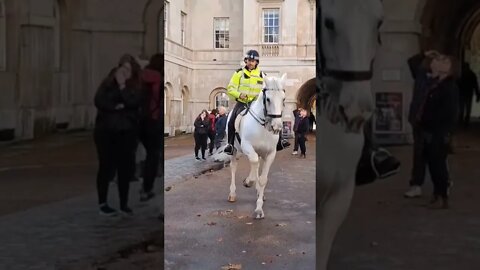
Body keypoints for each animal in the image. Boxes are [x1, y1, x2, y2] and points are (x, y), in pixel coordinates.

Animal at [220, 74, 286, 219]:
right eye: (268, 99)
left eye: (283, 99)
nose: (277, 127)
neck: (263, 127)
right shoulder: (247, 147)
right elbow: (254, 166)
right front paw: (248, 182)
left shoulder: (270, 154)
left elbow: (262, 179)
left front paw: (259, 208)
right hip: (235, 151)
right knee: (234, 167)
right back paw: (232, 193)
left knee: (256, 167)